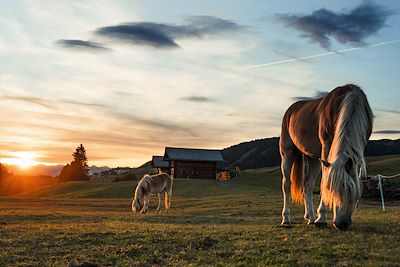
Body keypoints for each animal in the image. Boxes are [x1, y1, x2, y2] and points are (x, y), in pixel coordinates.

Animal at [280, 85, 374, 231]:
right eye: (332, 189)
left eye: (351, 191)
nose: (341, 224)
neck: (352, 100)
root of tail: (290, 110)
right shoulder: (326, 145)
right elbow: (325, 178)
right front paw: (322, 218)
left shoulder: (360, 146)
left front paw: (318, 218)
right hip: (287, 153)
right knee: (286, 184)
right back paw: (286, 219)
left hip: (312, 157)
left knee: (307, 184)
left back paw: (310, 217)